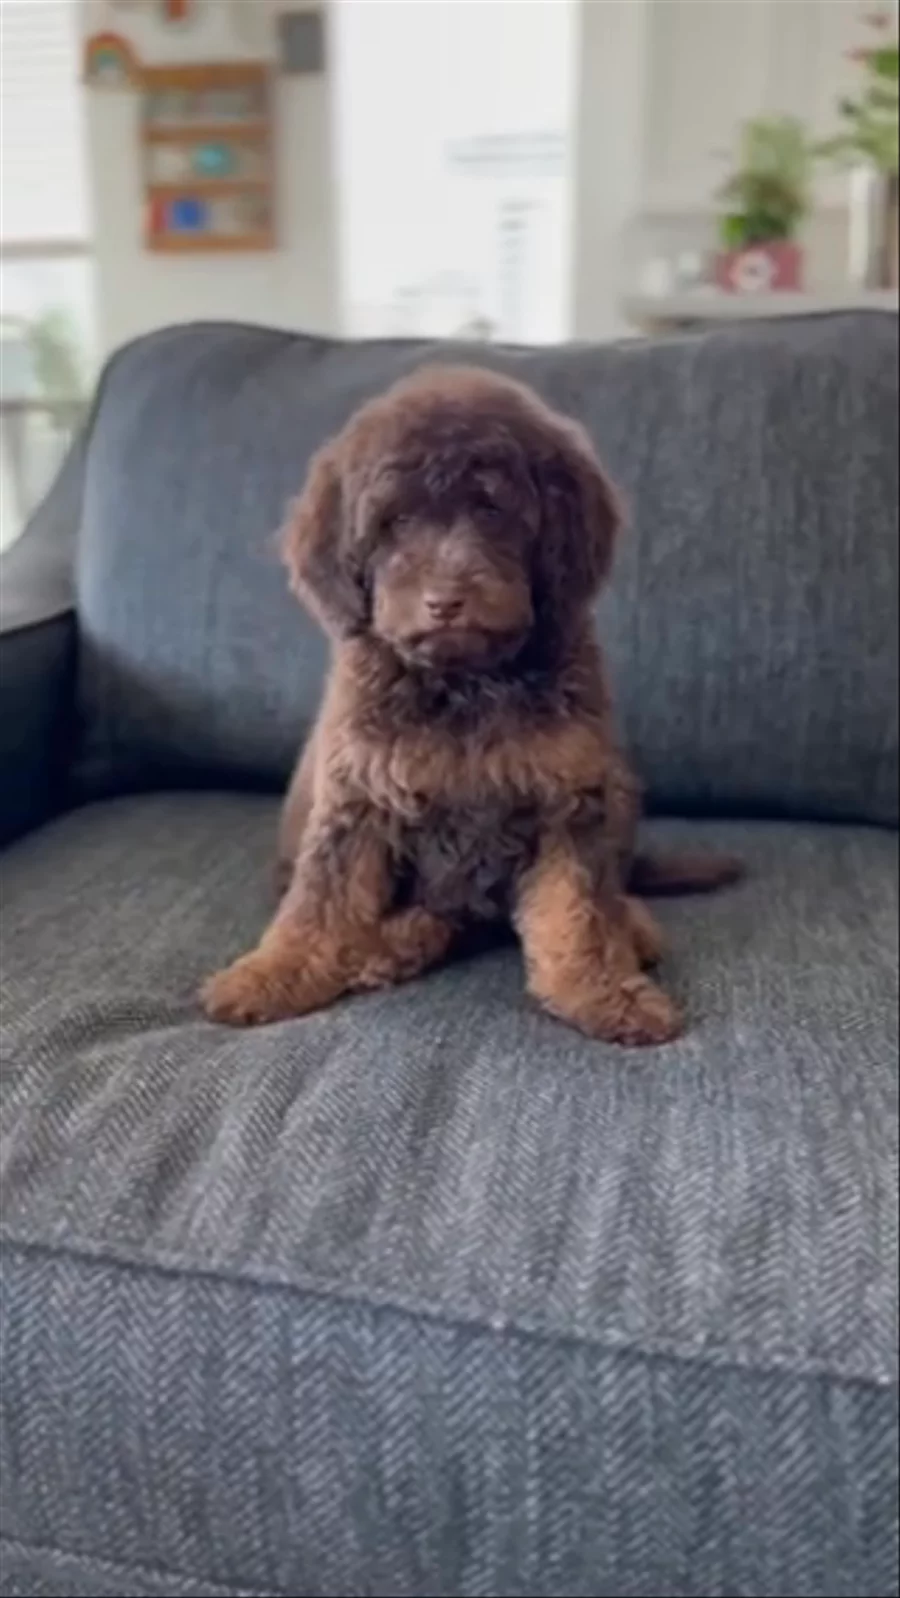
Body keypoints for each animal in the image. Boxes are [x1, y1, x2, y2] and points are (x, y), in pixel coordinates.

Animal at [201, 366, 740, 1044]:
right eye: (397, 521)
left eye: (491, 509)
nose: (446, 600)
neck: (464, 681)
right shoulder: (359, 795)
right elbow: (319, 903)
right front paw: (269, 974)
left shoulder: (571, 795)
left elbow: (582, 908)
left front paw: (603, 988)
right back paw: (389, 946)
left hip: (618, 788)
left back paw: (629, 925)